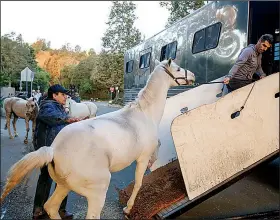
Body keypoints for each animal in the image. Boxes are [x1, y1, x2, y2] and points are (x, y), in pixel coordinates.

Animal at [0, 59, 195, 219]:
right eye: (178, 68)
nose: (192, 76)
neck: (144, 113)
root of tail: (54, 150)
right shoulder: (142, 158)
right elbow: (139, 183)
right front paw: (128, 209)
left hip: (64, 186)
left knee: (51, 207)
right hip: (97, 192)